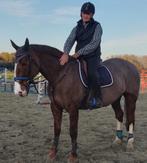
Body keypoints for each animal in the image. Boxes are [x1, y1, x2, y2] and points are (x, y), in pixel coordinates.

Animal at [10, 38, 140, 162]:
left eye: (24, 63)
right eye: (15, 63)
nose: (18, 91)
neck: (60, 74)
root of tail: (131, 65)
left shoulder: (73, 109)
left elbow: (73, 132)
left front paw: (73, 156)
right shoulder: (55, 107)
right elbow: (57, 129)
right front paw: (53, 153)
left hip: (131, 98)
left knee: (131, 118)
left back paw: (130, 142)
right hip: (115, 99)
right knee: (119, 114)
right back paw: (118, 140)